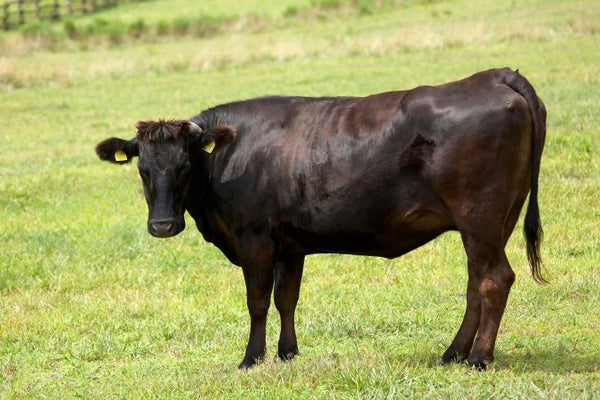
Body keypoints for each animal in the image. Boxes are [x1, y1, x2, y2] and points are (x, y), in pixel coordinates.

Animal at [95, 67, 548, 370]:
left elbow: (258, 301)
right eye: (143, 169)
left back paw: (478, 358)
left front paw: (251, 358)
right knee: (476, 283)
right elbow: (287, 298)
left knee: (494, 280)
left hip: (480, 217)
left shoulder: (254, 239)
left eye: (185, 166)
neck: (231, 153)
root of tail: (493, 76)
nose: (162, 226)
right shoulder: (290, 245)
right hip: (495, 222)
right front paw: (287, 353)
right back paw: (453, 353)